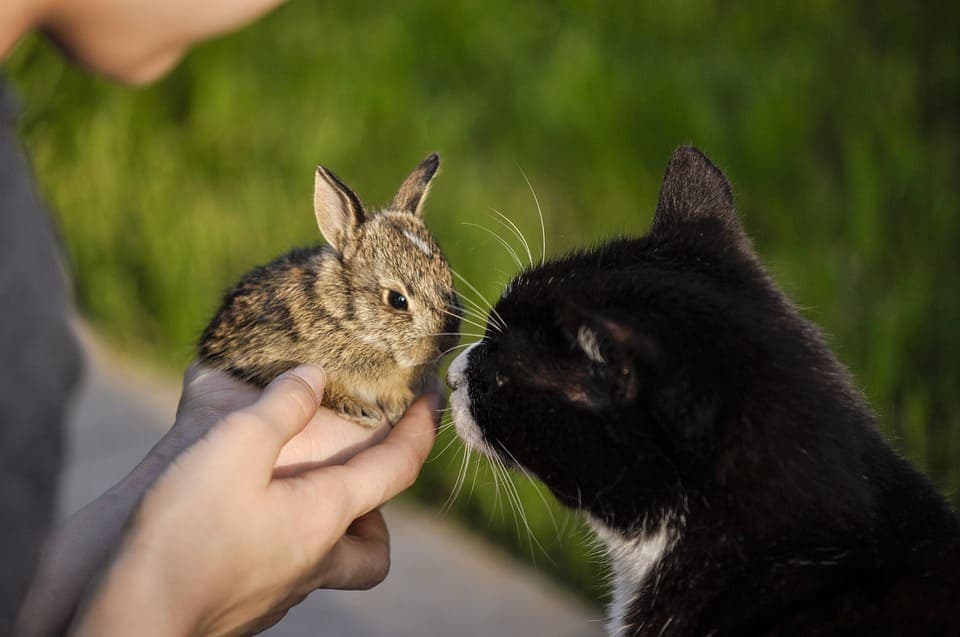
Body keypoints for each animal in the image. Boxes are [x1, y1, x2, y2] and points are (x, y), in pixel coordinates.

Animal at [198, 153, 460, 428]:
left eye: (449, 279)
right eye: (397, 300)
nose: (446, 343)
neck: (346, 321)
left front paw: (399, 402)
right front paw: (360, 410)